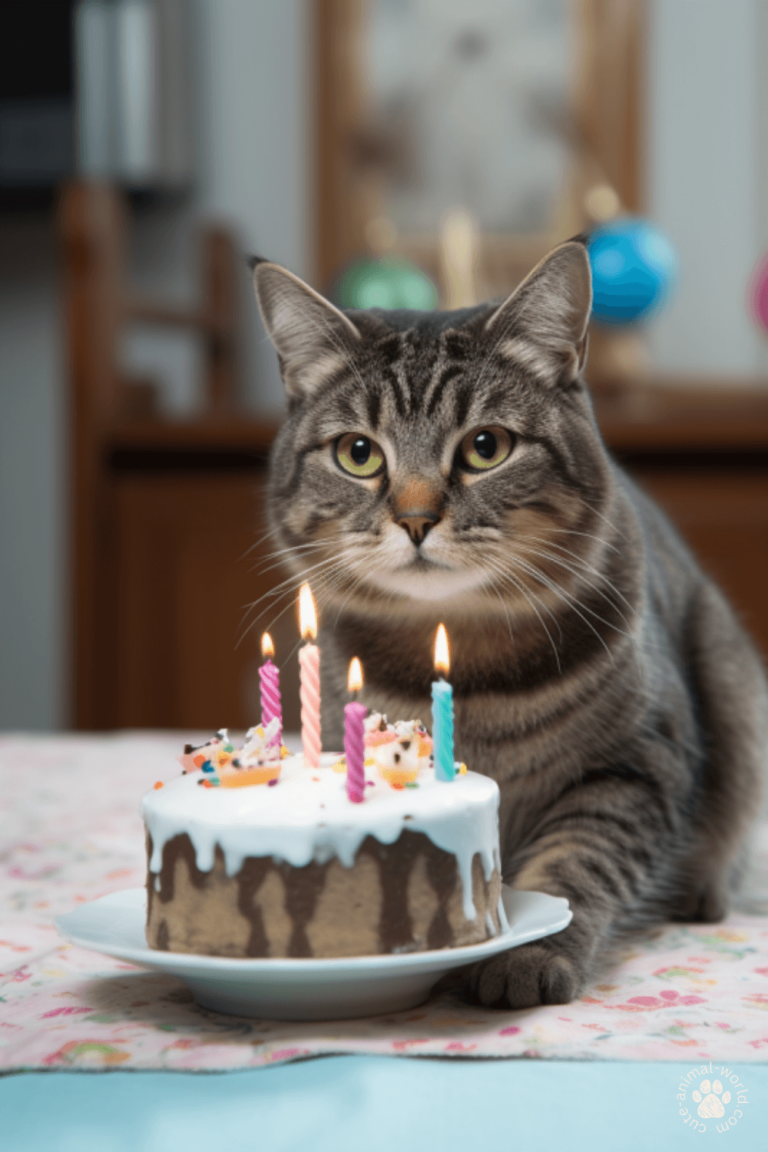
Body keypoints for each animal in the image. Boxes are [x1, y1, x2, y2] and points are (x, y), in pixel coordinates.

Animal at [252, 243, 768, 1009]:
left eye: (486, 446)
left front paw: (530, 954)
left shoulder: (640, 762)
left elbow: (576, 864)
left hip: (731, 683)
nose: (414, 519)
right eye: (358, 453)